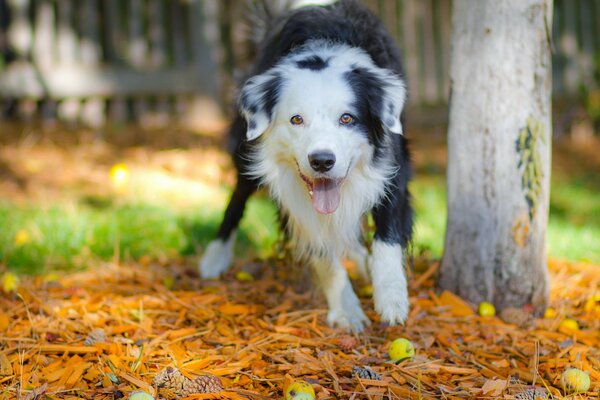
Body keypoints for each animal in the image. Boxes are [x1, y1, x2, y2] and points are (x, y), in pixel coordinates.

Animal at [200, 0, 412, 332]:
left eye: (347, 118)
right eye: (296, 119)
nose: (322, 161)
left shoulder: (394, 161)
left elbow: (388, 233)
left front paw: (391, 297)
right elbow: (322, 250)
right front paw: (347, 309)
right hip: (243, 147)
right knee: (237, 197)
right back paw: (215, 256)